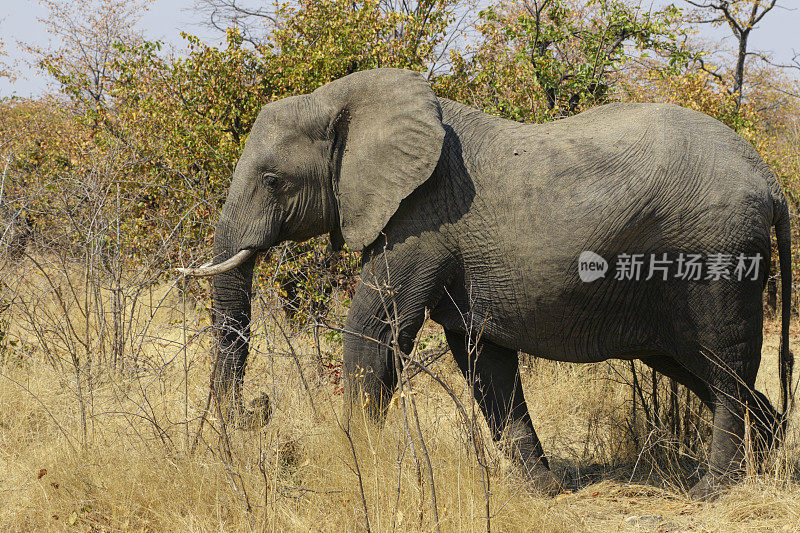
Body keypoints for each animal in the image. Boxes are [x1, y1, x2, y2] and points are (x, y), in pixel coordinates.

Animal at [183, 67, 792, 498]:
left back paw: (715, 490)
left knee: (724, 361)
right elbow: (483, 359)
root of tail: (770, 181)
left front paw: (356, 464)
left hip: (716, 252)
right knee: (700, 365)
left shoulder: (420, 219)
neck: (345, 98)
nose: (258, 408)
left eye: (272, 179)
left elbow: (377, 330)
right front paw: (544, 492)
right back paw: (766, 461)